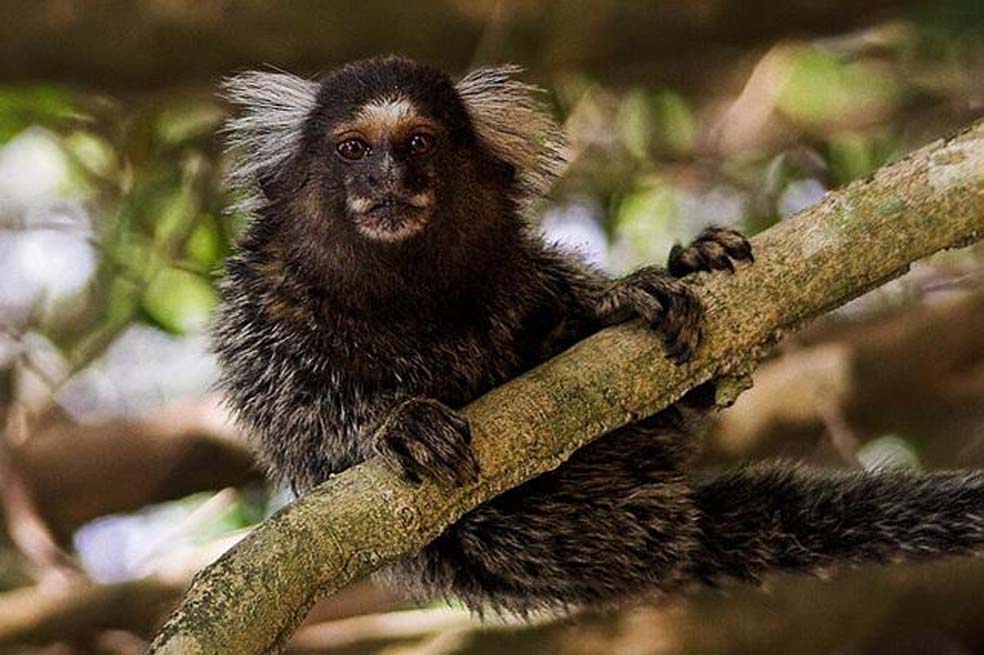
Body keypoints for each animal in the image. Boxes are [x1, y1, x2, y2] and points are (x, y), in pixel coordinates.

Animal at [212, 56, 984, 614]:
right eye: (352, 149)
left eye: (418, 143)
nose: (386, 178)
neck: (404, 296)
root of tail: (675, 528)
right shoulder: (264, 308)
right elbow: (300, 421)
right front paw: (393, 424)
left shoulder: (521, 271)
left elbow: (563, 296)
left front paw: (616, 301)